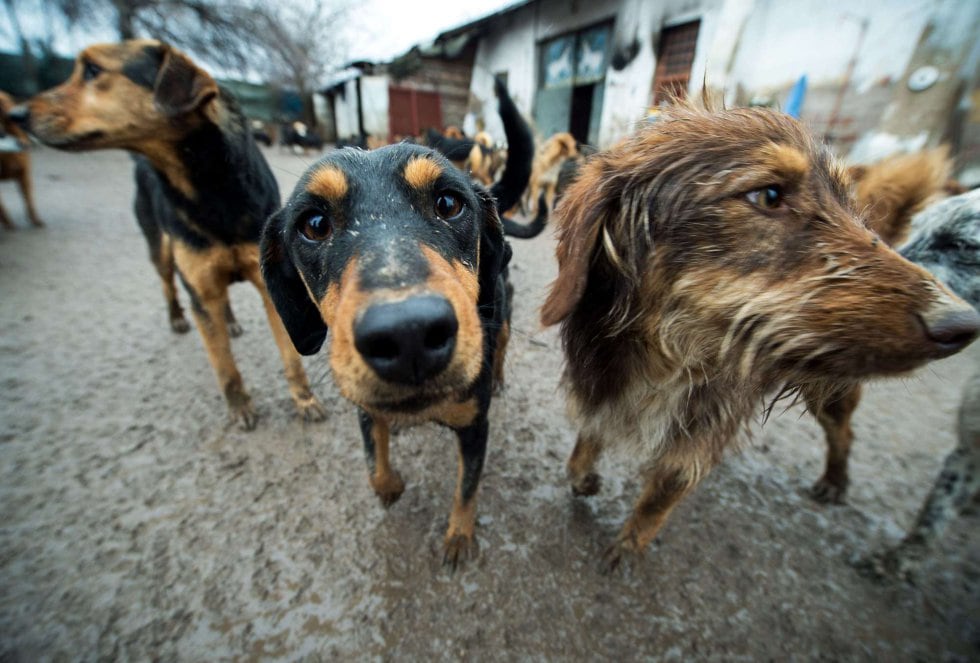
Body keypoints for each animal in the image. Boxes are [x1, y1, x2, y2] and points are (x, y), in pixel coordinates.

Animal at [13, 40, 326, 430]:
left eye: (92, 70)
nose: (17, 114)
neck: (209, 189)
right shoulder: (200, 282)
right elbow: (224, 365)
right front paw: (240, 406)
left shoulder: (265, 281)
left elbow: (291, 356)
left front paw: (304, 399)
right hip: (160, 251)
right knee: (170, 286)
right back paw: (178, 317)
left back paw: (230, 322)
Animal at [260, 75, 532, 568]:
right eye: (314, 224)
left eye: (449, 203)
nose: (409, 335)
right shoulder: (365, 408)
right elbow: (374, 463)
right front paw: (390, 485)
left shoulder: (475, 427)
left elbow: (466, 490)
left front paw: (458, 535)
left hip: (501, 315)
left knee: (501, 343)